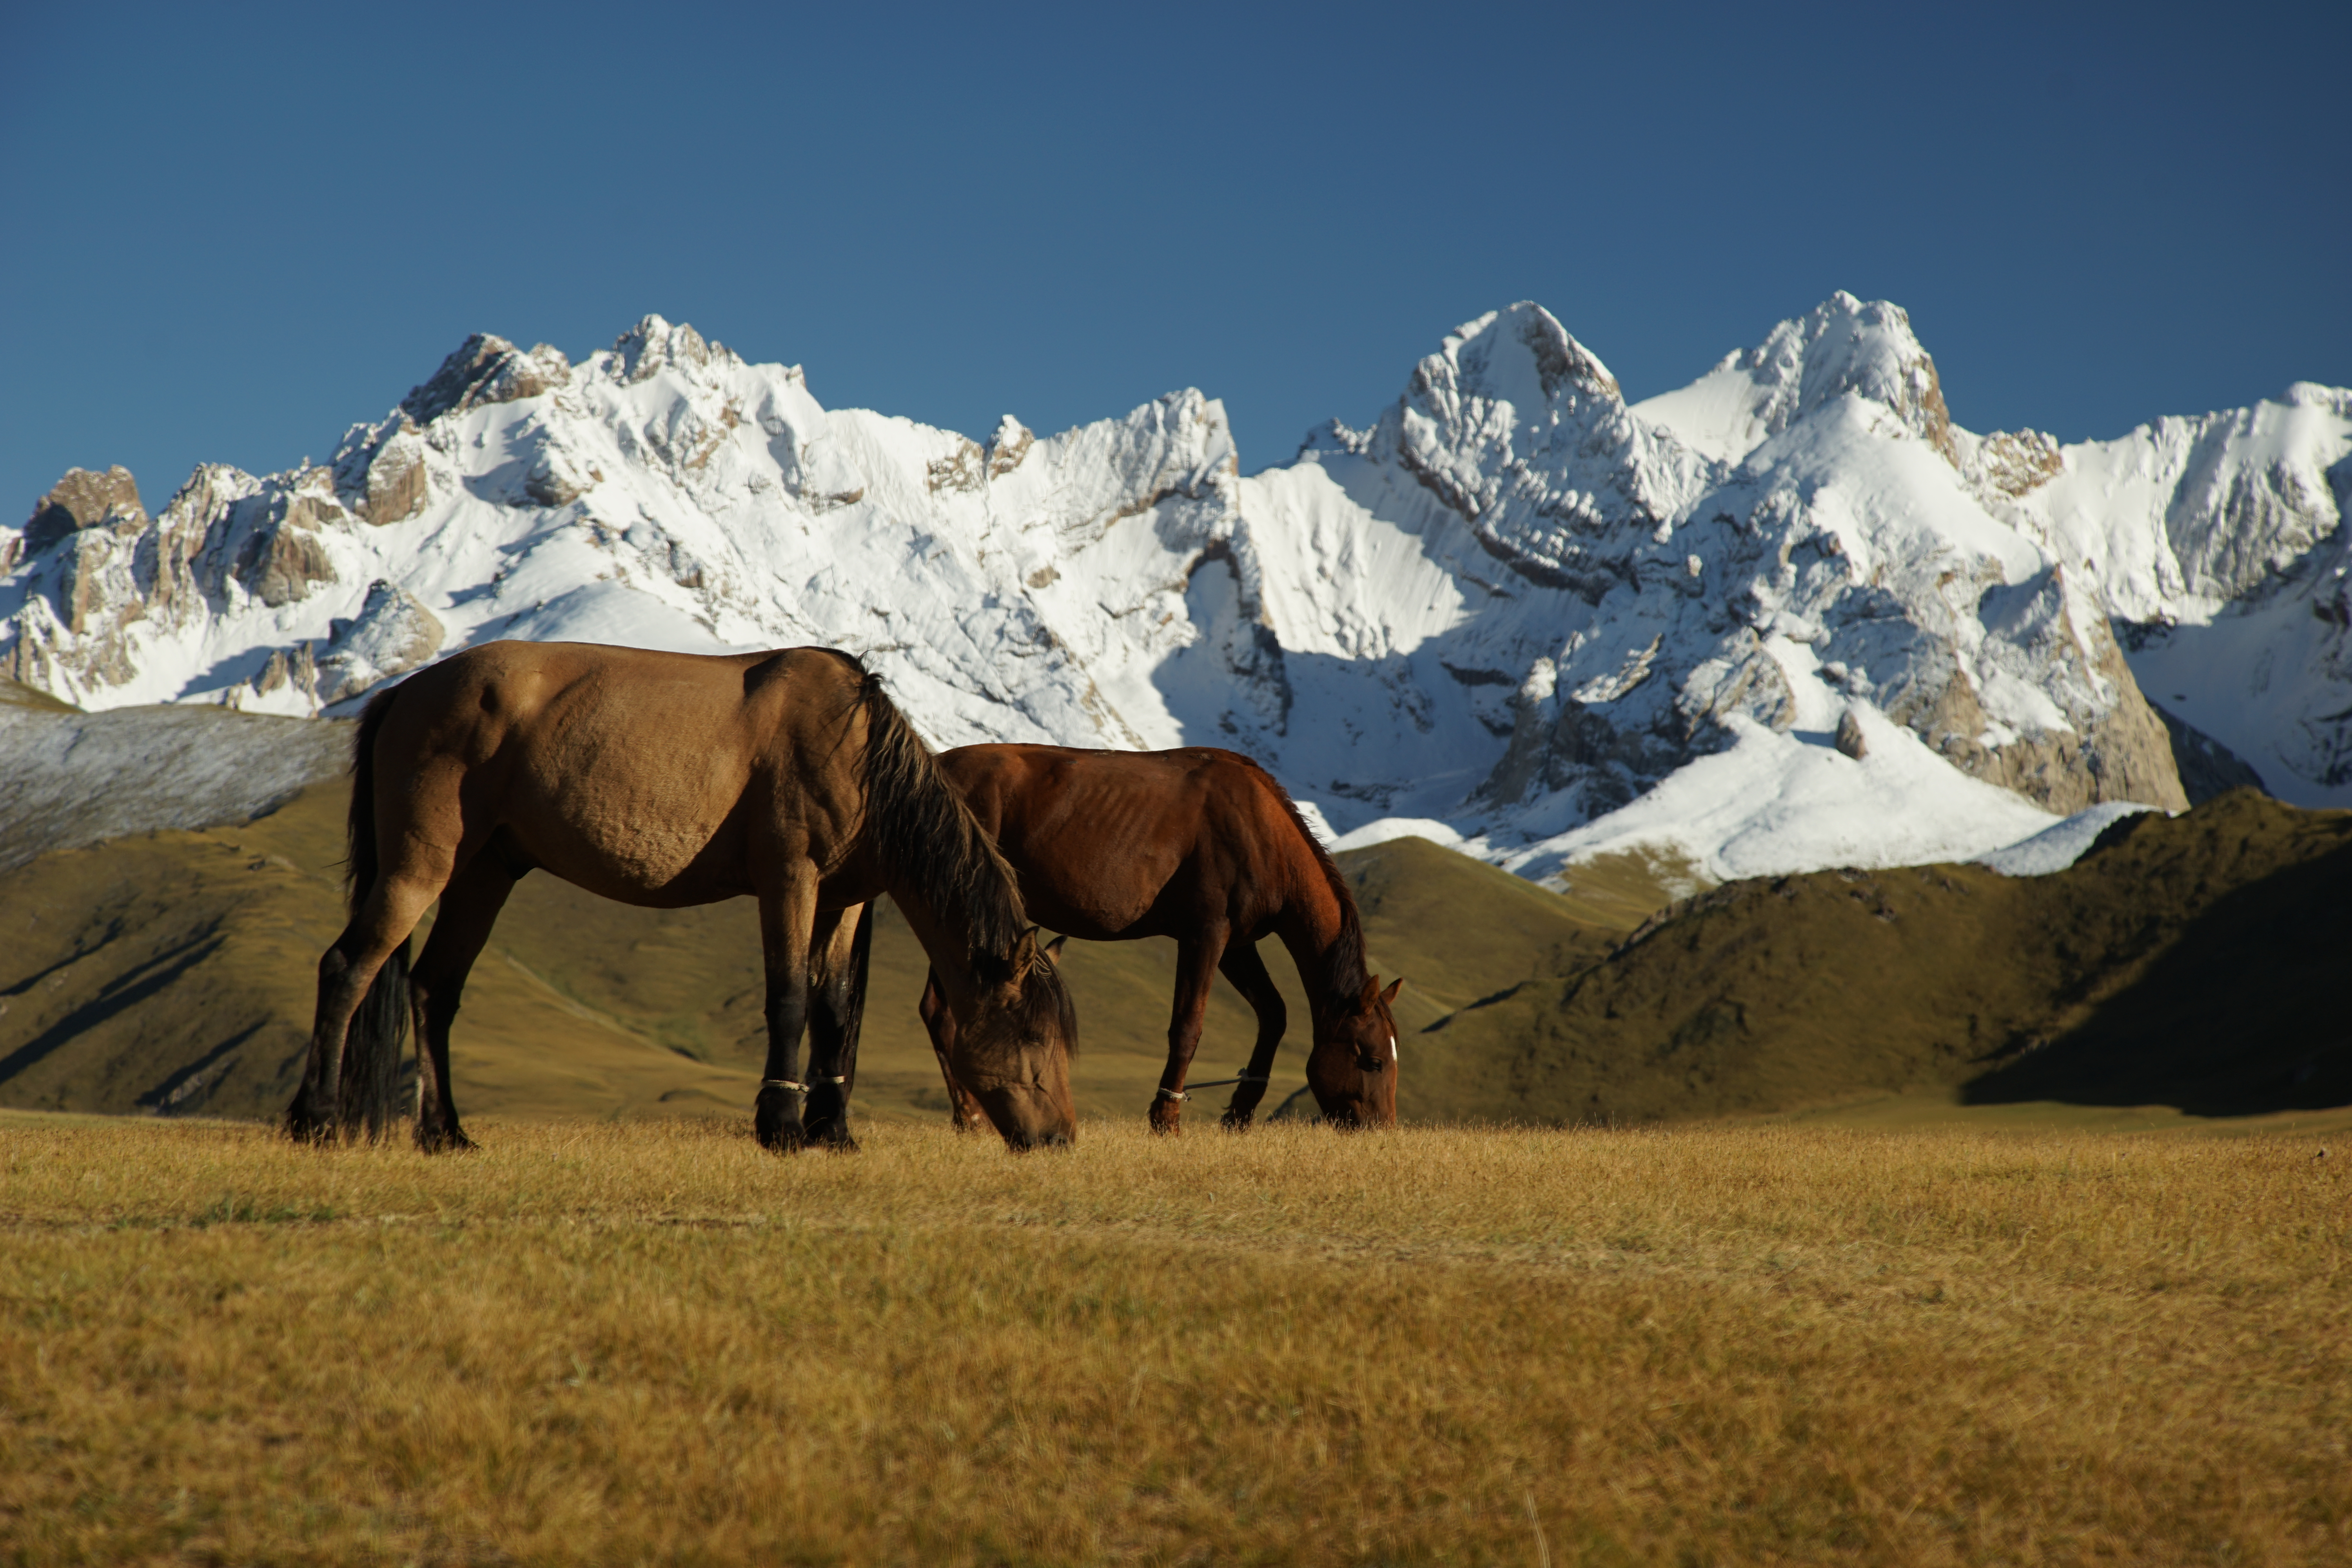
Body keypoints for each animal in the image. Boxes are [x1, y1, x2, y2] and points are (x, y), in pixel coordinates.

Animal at [283, 641, 1078, 1153]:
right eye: (1033, 1037)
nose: (1062, 1138)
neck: (854, 751)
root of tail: (404, 693)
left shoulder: (844, 899)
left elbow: (832, 1009)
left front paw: (835, 1131)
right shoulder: (789, 878)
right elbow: (790, 999)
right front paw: (782, 1128)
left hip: (485, 875)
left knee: (432, 990)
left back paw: (445, 1133)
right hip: (420, 867)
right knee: (348, 968)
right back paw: (315, 1120)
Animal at [915, 745, 1401, 1131]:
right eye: (1373, 1060)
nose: (1381, 1130)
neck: (1262, 832)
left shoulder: (1237, 944)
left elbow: (1274, 1014)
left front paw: (1240, 1112)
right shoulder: (1206, 933)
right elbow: (1187, 1027)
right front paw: (1166, 1117)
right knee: (942, 1012)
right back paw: (972, 1115)